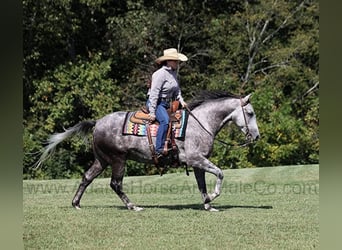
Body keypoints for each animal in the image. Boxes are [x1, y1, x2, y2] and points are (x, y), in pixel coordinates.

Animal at [36, 90, 260, 211]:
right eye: (250, 113)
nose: (256, 136)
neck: (201, 123)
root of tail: (97, 122)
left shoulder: (199, 163)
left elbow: (202, 185)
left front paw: (208, 204)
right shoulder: (195, 159)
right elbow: (220, 174)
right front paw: (213, 197)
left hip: (102, 160)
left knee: (87, 178)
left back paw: (76, 203)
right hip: (118, 160)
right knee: (115, 184)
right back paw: (132, 206)